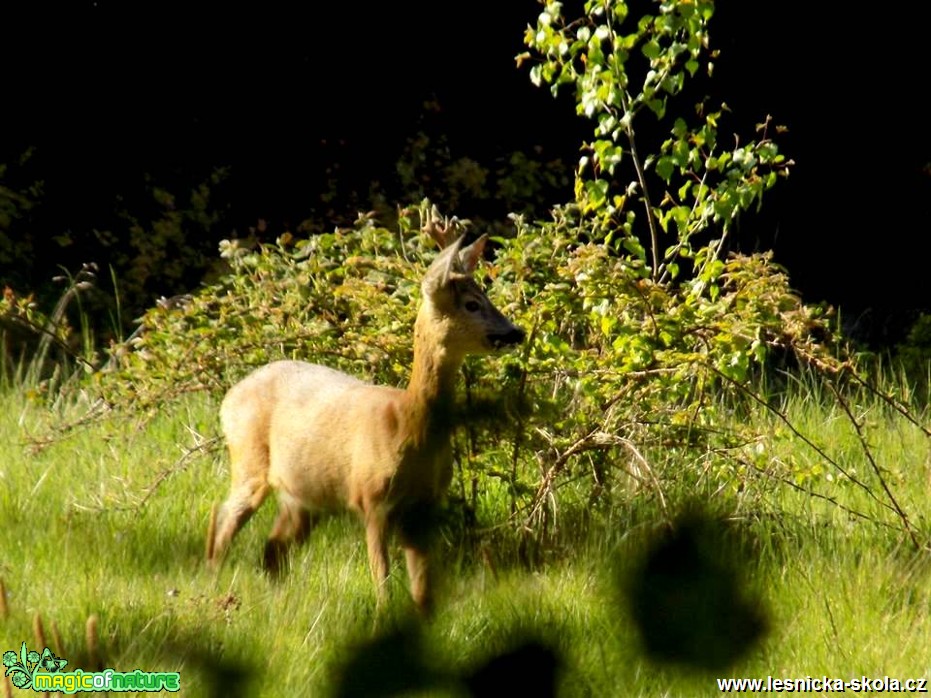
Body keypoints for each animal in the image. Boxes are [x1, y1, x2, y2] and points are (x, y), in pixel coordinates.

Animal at [206, 215, 524, 612]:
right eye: (471, 303)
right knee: (223, 521)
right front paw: (383, 614)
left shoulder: (424, 506)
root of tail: (229, 397)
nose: (516, 332)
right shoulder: (370, 498)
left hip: (304, 495)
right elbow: (382, 577)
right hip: (249, 461)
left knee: (272, 548)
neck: (409, 428)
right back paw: (214, 589)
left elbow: (423, 588)